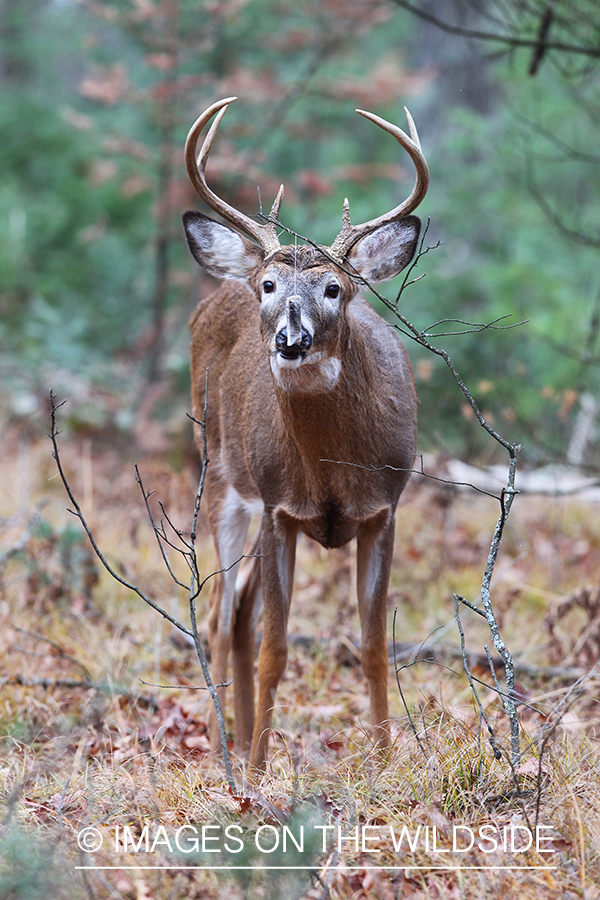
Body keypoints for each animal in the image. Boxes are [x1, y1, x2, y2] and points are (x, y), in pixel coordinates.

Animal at [180, 98, 428, 772]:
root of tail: (221, 283)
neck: (333, 471)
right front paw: (259, 771)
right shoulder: (277, 507)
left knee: (237, 610)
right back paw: (224, 748)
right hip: (221, 481)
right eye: (271, 286)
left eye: (334, 288)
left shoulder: (386, 509)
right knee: (220, 615)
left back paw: (239, 737)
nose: (291, 338)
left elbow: (373, 647)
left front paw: (383, 759)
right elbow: (276, 649)